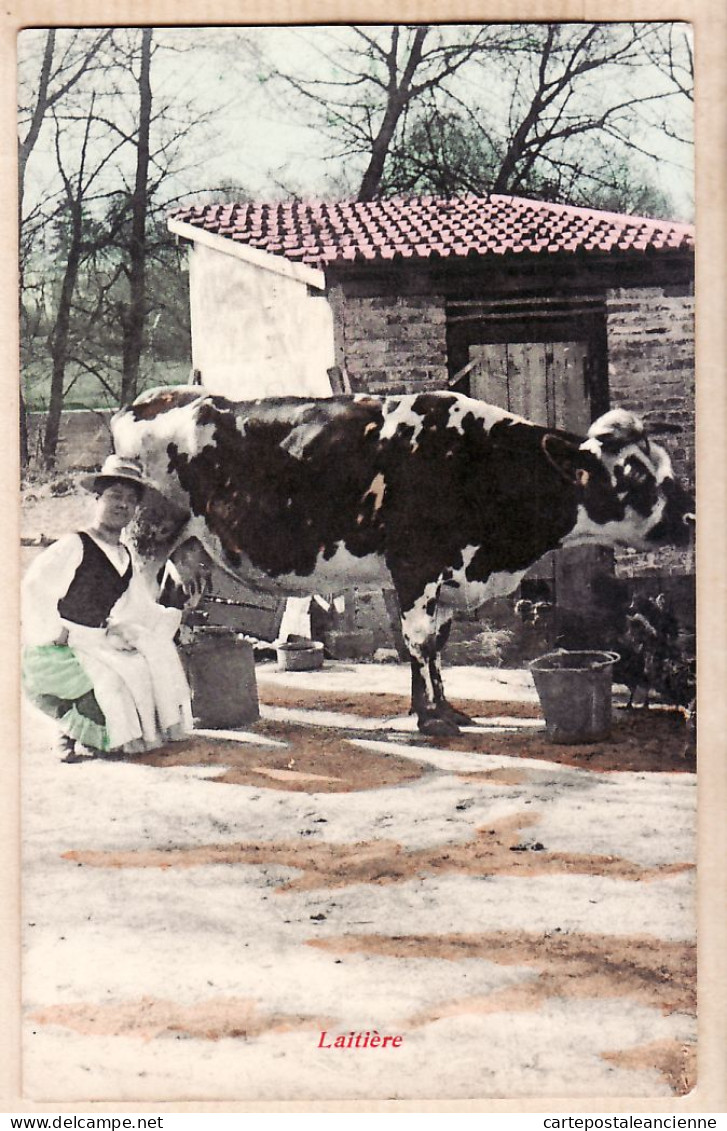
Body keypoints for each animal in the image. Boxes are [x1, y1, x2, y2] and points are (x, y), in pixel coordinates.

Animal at [112, 389, 691, 737]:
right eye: (634, 473)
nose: (688, 515)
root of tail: (153, 398)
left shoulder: (448, 578)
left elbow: (435, 646)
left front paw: (440, 708)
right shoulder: (416, 568)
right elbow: (418, 641)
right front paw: (432, 720)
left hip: (188, 551)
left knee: (178, 615)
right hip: (149, 537)